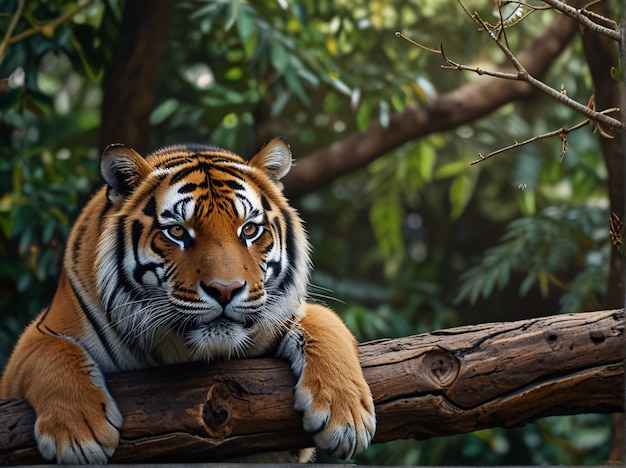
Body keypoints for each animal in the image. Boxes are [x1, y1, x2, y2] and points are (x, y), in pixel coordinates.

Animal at [0, 137, 376, 462]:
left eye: (249, 229)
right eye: (177, 231)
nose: (225, 289)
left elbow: (325, 323)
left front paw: (346, 417)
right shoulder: (35, 341)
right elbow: (53, 353)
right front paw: (79, 437)